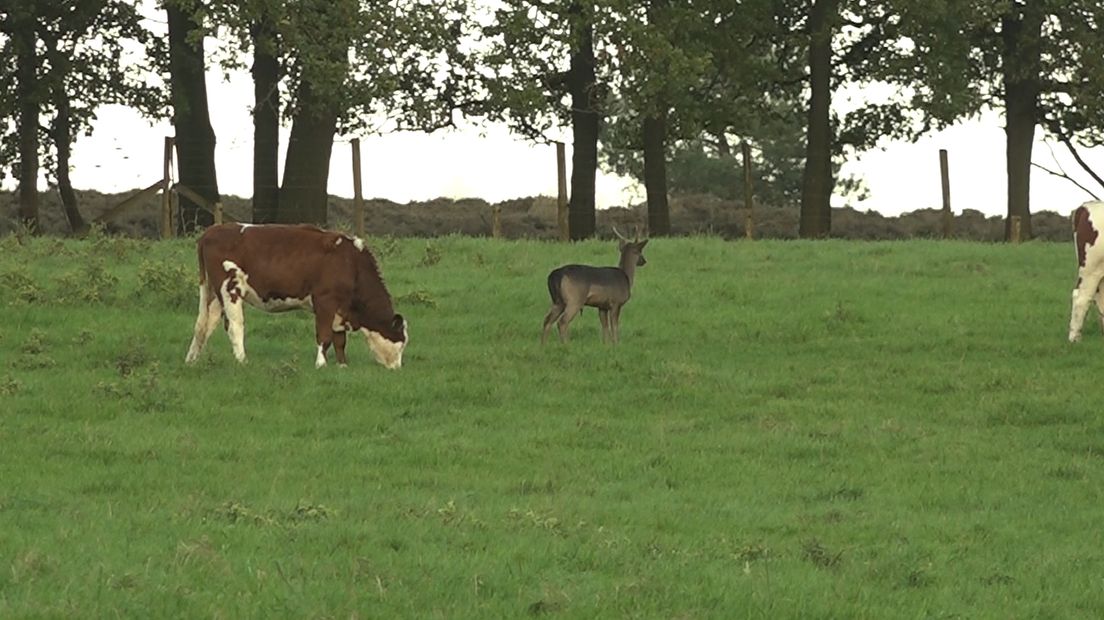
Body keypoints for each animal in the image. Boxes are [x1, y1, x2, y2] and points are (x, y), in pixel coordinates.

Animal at [185, 221, 410, 366]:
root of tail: (211, 232)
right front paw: (321, 364)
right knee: (234, 326)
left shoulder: (340, 309)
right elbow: (324, 336)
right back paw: (242, 361)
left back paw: (192, 359)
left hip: (214, 294)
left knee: (204, 325)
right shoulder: (325, 301)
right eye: (401, 342)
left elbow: (339, 340)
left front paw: (342, 365)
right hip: (230, 289)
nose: (397, 368)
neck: (350, 263)